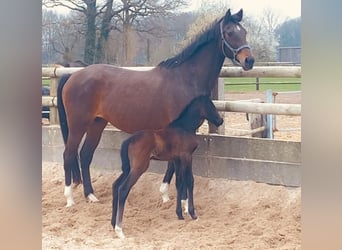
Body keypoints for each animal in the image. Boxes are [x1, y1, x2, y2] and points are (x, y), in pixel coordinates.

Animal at [113, 95, 224, 238]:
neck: (184, 127)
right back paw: (119, 230)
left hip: (128, 169)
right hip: (138, 168)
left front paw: (180, 215)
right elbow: (190, 181)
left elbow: (179, 183)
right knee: (123, 189)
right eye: (210, 106)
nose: (220, 120)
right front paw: (193, 214)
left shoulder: (177, 160)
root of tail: (129, 140)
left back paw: (112, 223)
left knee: (116, 186)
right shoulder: (187, 157)